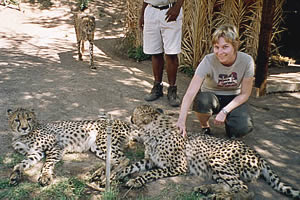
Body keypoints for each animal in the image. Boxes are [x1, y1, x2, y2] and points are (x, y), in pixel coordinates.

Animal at [7, 107, 135, 187]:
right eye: (17, 120)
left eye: (29, 119)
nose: (24, 128)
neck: (21, 135)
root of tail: (124, 122)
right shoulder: (36, 152)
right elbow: (22, 163)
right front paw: (15, 174)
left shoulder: (56, 146)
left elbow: (47, 163)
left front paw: (45, 176)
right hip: (96, 146)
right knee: (114, 160)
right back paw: (99, 174)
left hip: (102, 141)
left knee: (125, 159)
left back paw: (108, 178)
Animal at [116, 105, 300, 199]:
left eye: (135, 113)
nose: (130, 117)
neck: (152, 131)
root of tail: (258, 155)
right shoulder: (150, 160)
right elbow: (132, 166)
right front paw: (117, 174)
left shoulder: (179, 166)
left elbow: (151, 173)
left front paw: (136, 181)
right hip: (215, 169)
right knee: (229, 185)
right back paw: (207, 190)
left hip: (216, 159)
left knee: (244, 190)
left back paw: (218, 195)